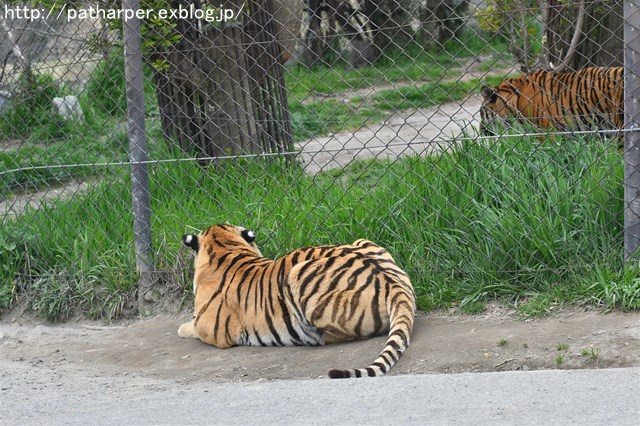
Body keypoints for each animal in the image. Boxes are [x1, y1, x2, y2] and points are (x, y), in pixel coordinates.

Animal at [176, 225, 416, 378]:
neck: (225, 246)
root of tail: (393, 283)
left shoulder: (212, 330)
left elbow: (190, 326)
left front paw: (182, 328)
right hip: (361, 241)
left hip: (297, 274)